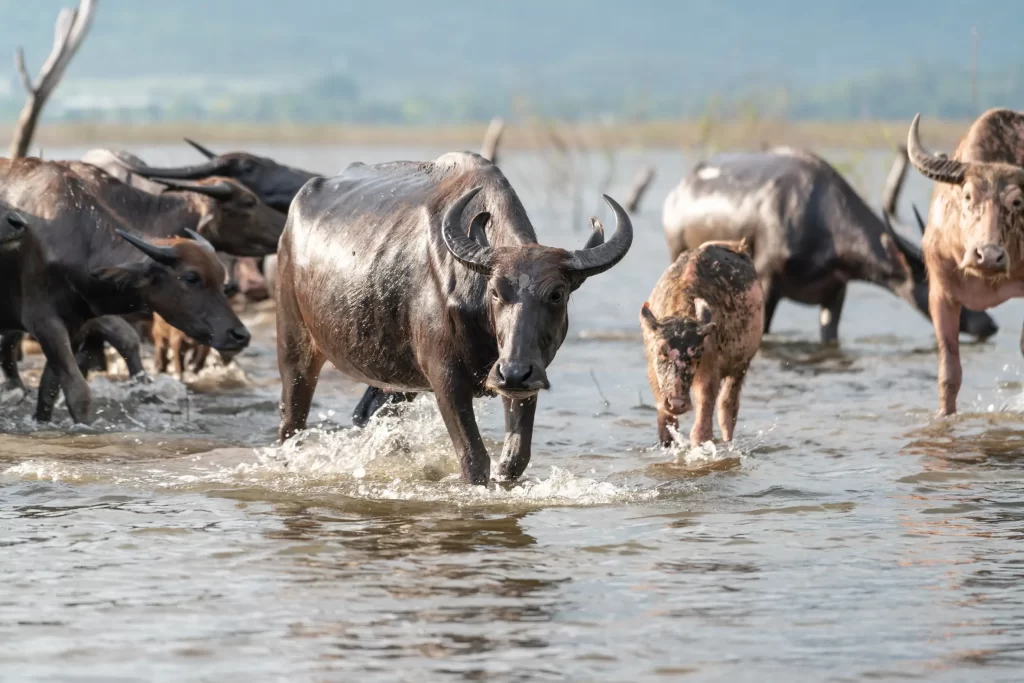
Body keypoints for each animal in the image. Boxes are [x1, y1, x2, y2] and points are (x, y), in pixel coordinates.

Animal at [278, 152, 630, 485]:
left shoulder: (528, 378)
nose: (514, 372)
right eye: (495, 291)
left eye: (557, 293)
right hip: (295, 347)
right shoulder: (445, 379)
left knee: (370, 414)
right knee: (291, 421)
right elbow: (474, 458)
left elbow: (514, 459)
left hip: (397, 381)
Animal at [643, 240, 765, 448]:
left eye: (697, 353)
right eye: (662, 352)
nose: (677, 403)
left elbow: (701, 430)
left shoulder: (710, 373)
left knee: (727, 408)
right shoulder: (654, 374)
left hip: (740, 367)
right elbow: (666, 426)